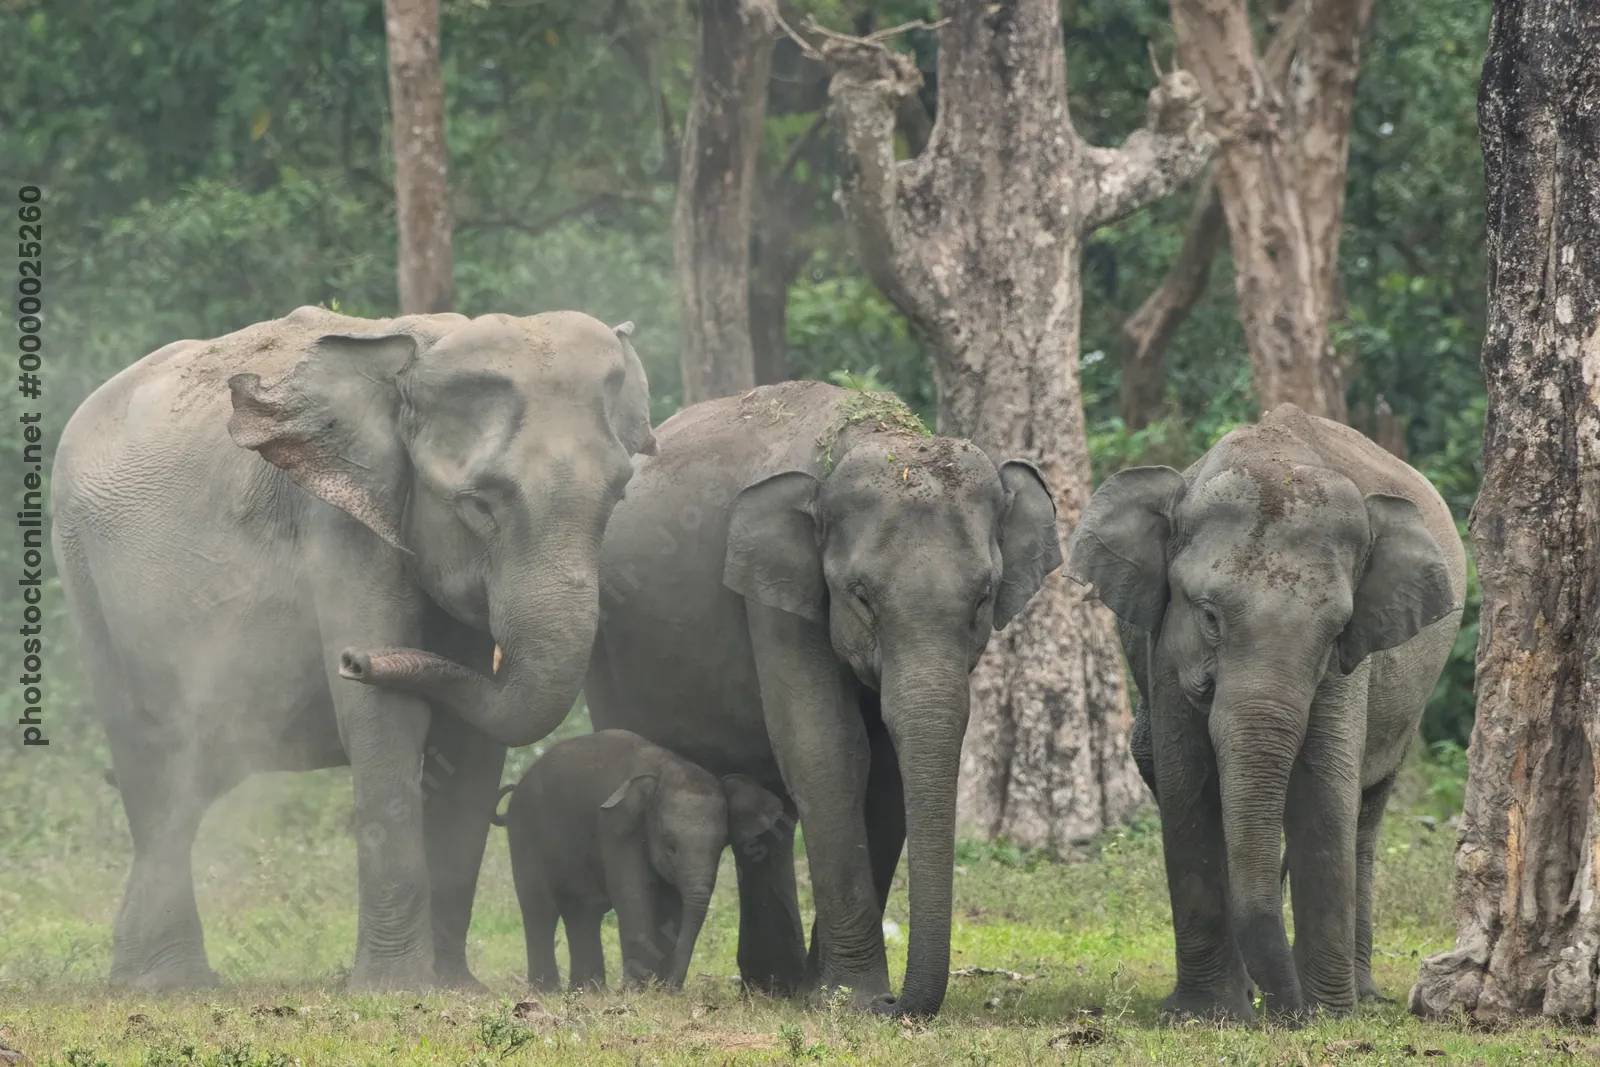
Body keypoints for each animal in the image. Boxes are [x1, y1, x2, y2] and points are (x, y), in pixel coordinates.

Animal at [51, 305, 653, 992]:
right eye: (478, 505)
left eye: (619, 495)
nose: (355, 660)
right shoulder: (341, 522)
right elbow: (386, 721)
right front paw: (397, 988)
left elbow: (471, 742)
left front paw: (453, 988)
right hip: (83, 575)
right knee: (154, 763)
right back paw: (172, 984)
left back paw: (140, 972)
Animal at [492, 729, 784, 992]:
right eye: (670, 846)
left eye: (721, 847)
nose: (672, 988)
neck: (665, 771)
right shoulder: (617, 830)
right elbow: (633, 893)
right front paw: (636, 991)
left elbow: (672, 905)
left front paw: (652, 990)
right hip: (524, 834)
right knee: (540, 908)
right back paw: (548, 991)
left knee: (583, 912)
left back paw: (588, 992)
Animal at [581, 379, 1062, 1018]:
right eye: (860, 596)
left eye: (983, 597)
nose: (895, 1004)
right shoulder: (777, 595)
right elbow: (828, 748)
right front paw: (851, 998)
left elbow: (885, 769)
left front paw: (832, 993)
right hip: (605, 645)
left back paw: (776, 983)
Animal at [1065, 402, 1465, 1022]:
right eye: (1208, 616)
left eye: (1336, 629)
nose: (1285, 1013)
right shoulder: (1165, 648)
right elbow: (1187, 787)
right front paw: (1208, 1016)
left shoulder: (1349, 666)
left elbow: (1325, 792)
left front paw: (1325, 1015)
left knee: (1365, 814)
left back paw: (1359, 995)